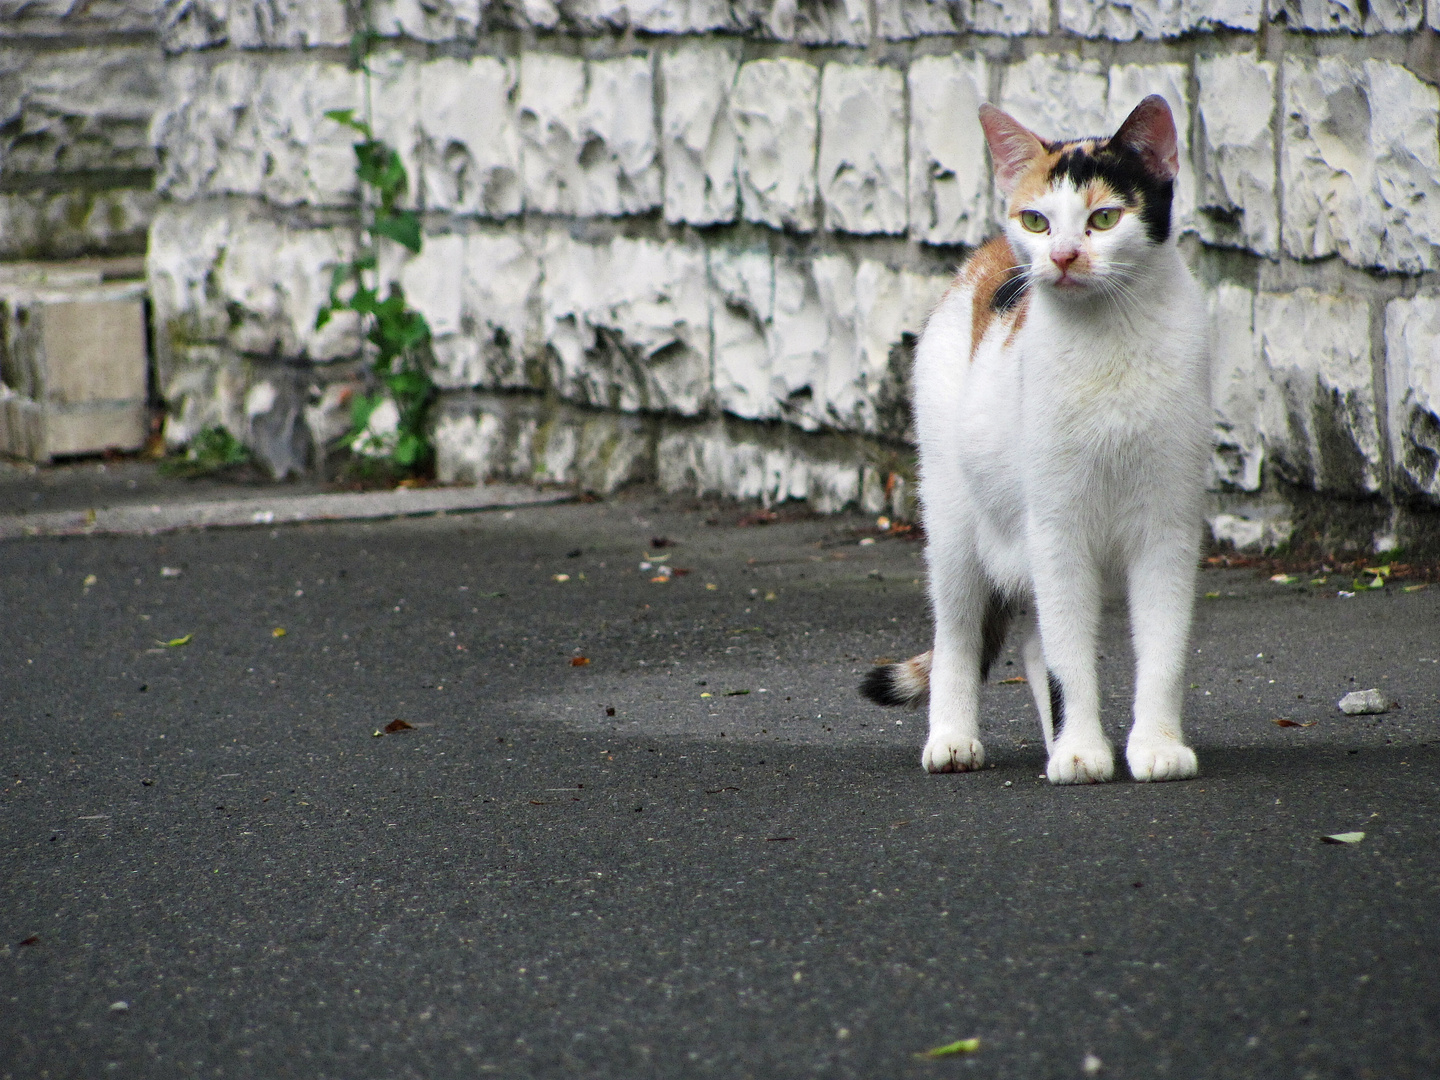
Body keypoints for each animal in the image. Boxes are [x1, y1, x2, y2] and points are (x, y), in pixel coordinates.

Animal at [858, 95, 1209, 789]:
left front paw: (1155, 747)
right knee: (961, 634)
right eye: (1038, 220)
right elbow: (1069, 657)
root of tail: (983, 256)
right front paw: (1081, 754)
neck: (1109, 343)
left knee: (1031, 638)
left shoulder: (1168, 530)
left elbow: (1161, 652)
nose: (1065, 256)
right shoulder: (1056, 529)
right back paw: (955, 739)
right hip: (955, 523)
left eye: (1104, 218)